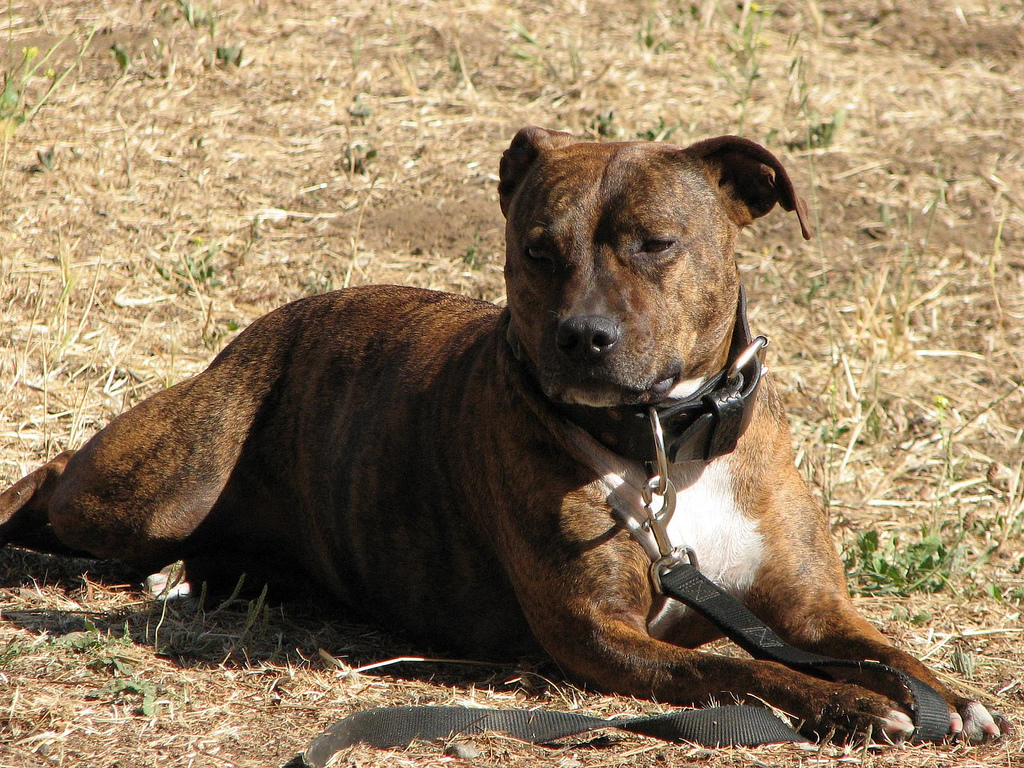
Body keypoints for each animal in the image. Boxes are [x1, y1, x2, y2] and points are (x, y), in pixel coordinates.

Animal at [0, 128, 1007, 745]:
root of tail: (257, 332)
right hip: (165, 484)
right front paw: (846, 703)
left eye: (655, 243)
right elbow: (738, 669)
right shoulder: (600, 633)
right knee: (56, 478)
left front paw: (952, 696)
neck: (668, 445)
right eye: (537, 249)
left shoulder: (806, 606)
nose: (582, 336)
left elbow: (884, 645)